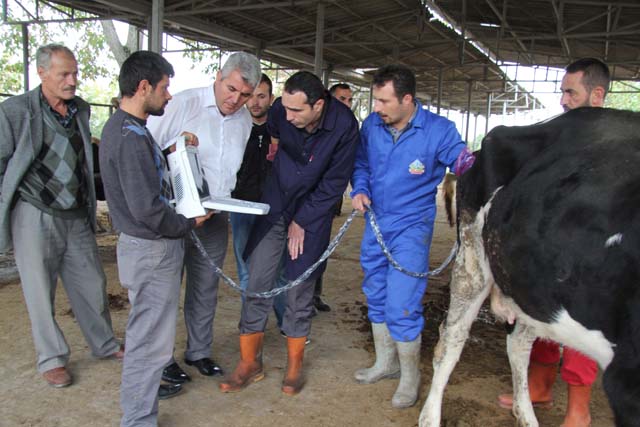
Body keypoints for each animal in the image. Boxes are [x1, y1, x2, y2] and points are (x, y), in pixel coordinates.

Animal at [419, 107, 640, 427]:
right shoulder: (626, 379)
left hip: (529, 285)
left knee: (519, 345)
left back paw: (526, 414)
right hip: (472, 260)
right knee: (451, 339)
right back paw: (430, 416)